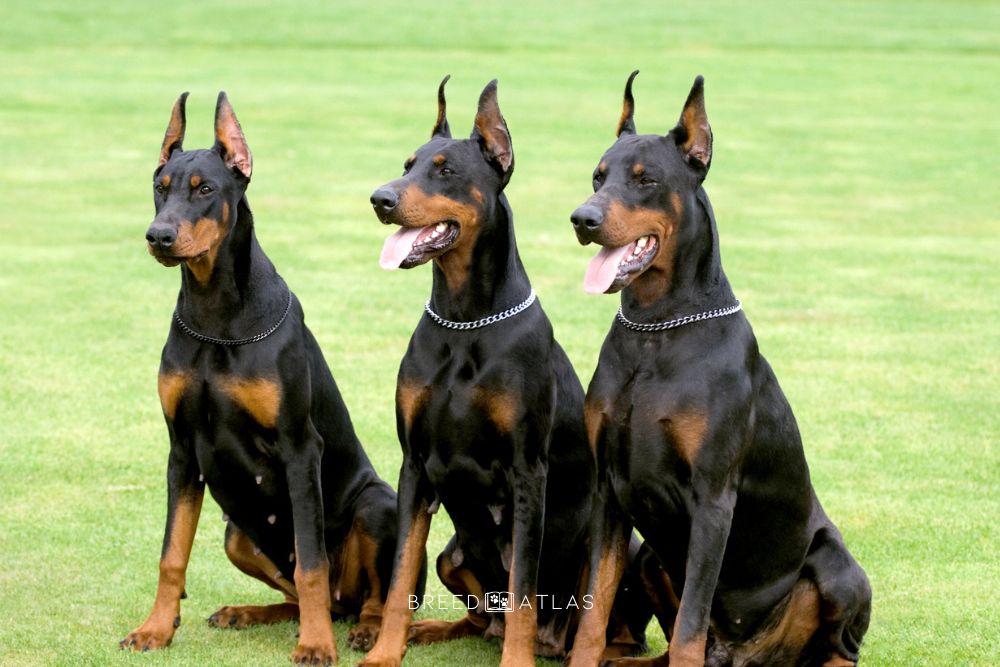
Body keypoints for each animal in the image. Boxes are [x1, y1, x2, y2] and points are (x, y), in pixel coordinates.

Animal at [119, 91, 420, 664]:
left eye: (205, 189)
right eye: (160, 186)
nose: (158, 236)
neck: (216, 318)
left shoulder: (299, 446)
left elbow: (312, 563)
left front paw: (317, 646)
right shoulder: (181, 450)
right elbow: (172, 554)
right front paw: (156, 629)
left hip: (376, 506)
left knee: (360, 592)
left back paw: (363, 629)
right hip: (237, 534)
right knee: (306, 597)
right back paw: (248, 613)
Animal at [362, 75, 656, 664]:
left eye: (445, 170)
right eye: (407, 164)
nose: (381, 199)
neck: (464, 321)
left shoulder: (526, 472)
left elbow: (523, 583)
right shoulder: (413, 465)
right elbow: (401, 573)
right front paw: (385, 650)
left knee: (601, 627)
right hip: (452, 553)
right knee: (481, 619)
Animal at [568, 73, 872, 667]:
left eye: (646, 179)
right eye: (598, 175)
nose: (582, 219)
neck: (657, 330)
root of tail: (746, 655)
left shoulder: (712, 500)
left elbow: (692, 618)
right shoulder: (608, 491)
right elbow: (595, 607)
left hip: (837, 567)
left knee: (840, 647)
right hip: (649, 557)